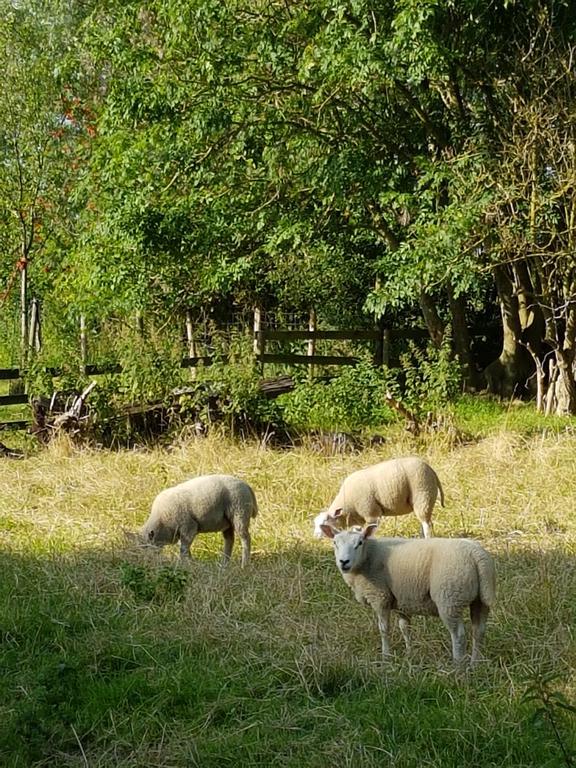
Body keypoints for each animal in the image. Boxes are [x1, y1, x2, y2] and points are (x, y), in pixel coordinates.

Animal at [312, 456, 444, 540]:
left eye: (325, 522)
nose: (315, 537)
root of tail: (432, 470)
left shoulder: (371, 513)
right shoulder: (359, 518)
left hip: (423, 496)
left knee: (427, 524)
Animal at [320, 520, 496, 664]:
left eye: (360, 543)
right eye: (335, 543)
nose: (344, 562)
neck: (367, 558)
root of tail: (476, 554)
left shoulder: (380, 597)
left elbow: (384, 629)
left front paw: (386, 657)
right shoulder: (401, 599)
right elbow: (404, 627)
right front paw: (409, 654)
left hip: (449, 597)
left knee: (458, 634)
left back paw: (457, 665)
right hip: (480, 599)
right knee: (479, 630)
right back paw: (475, 663)